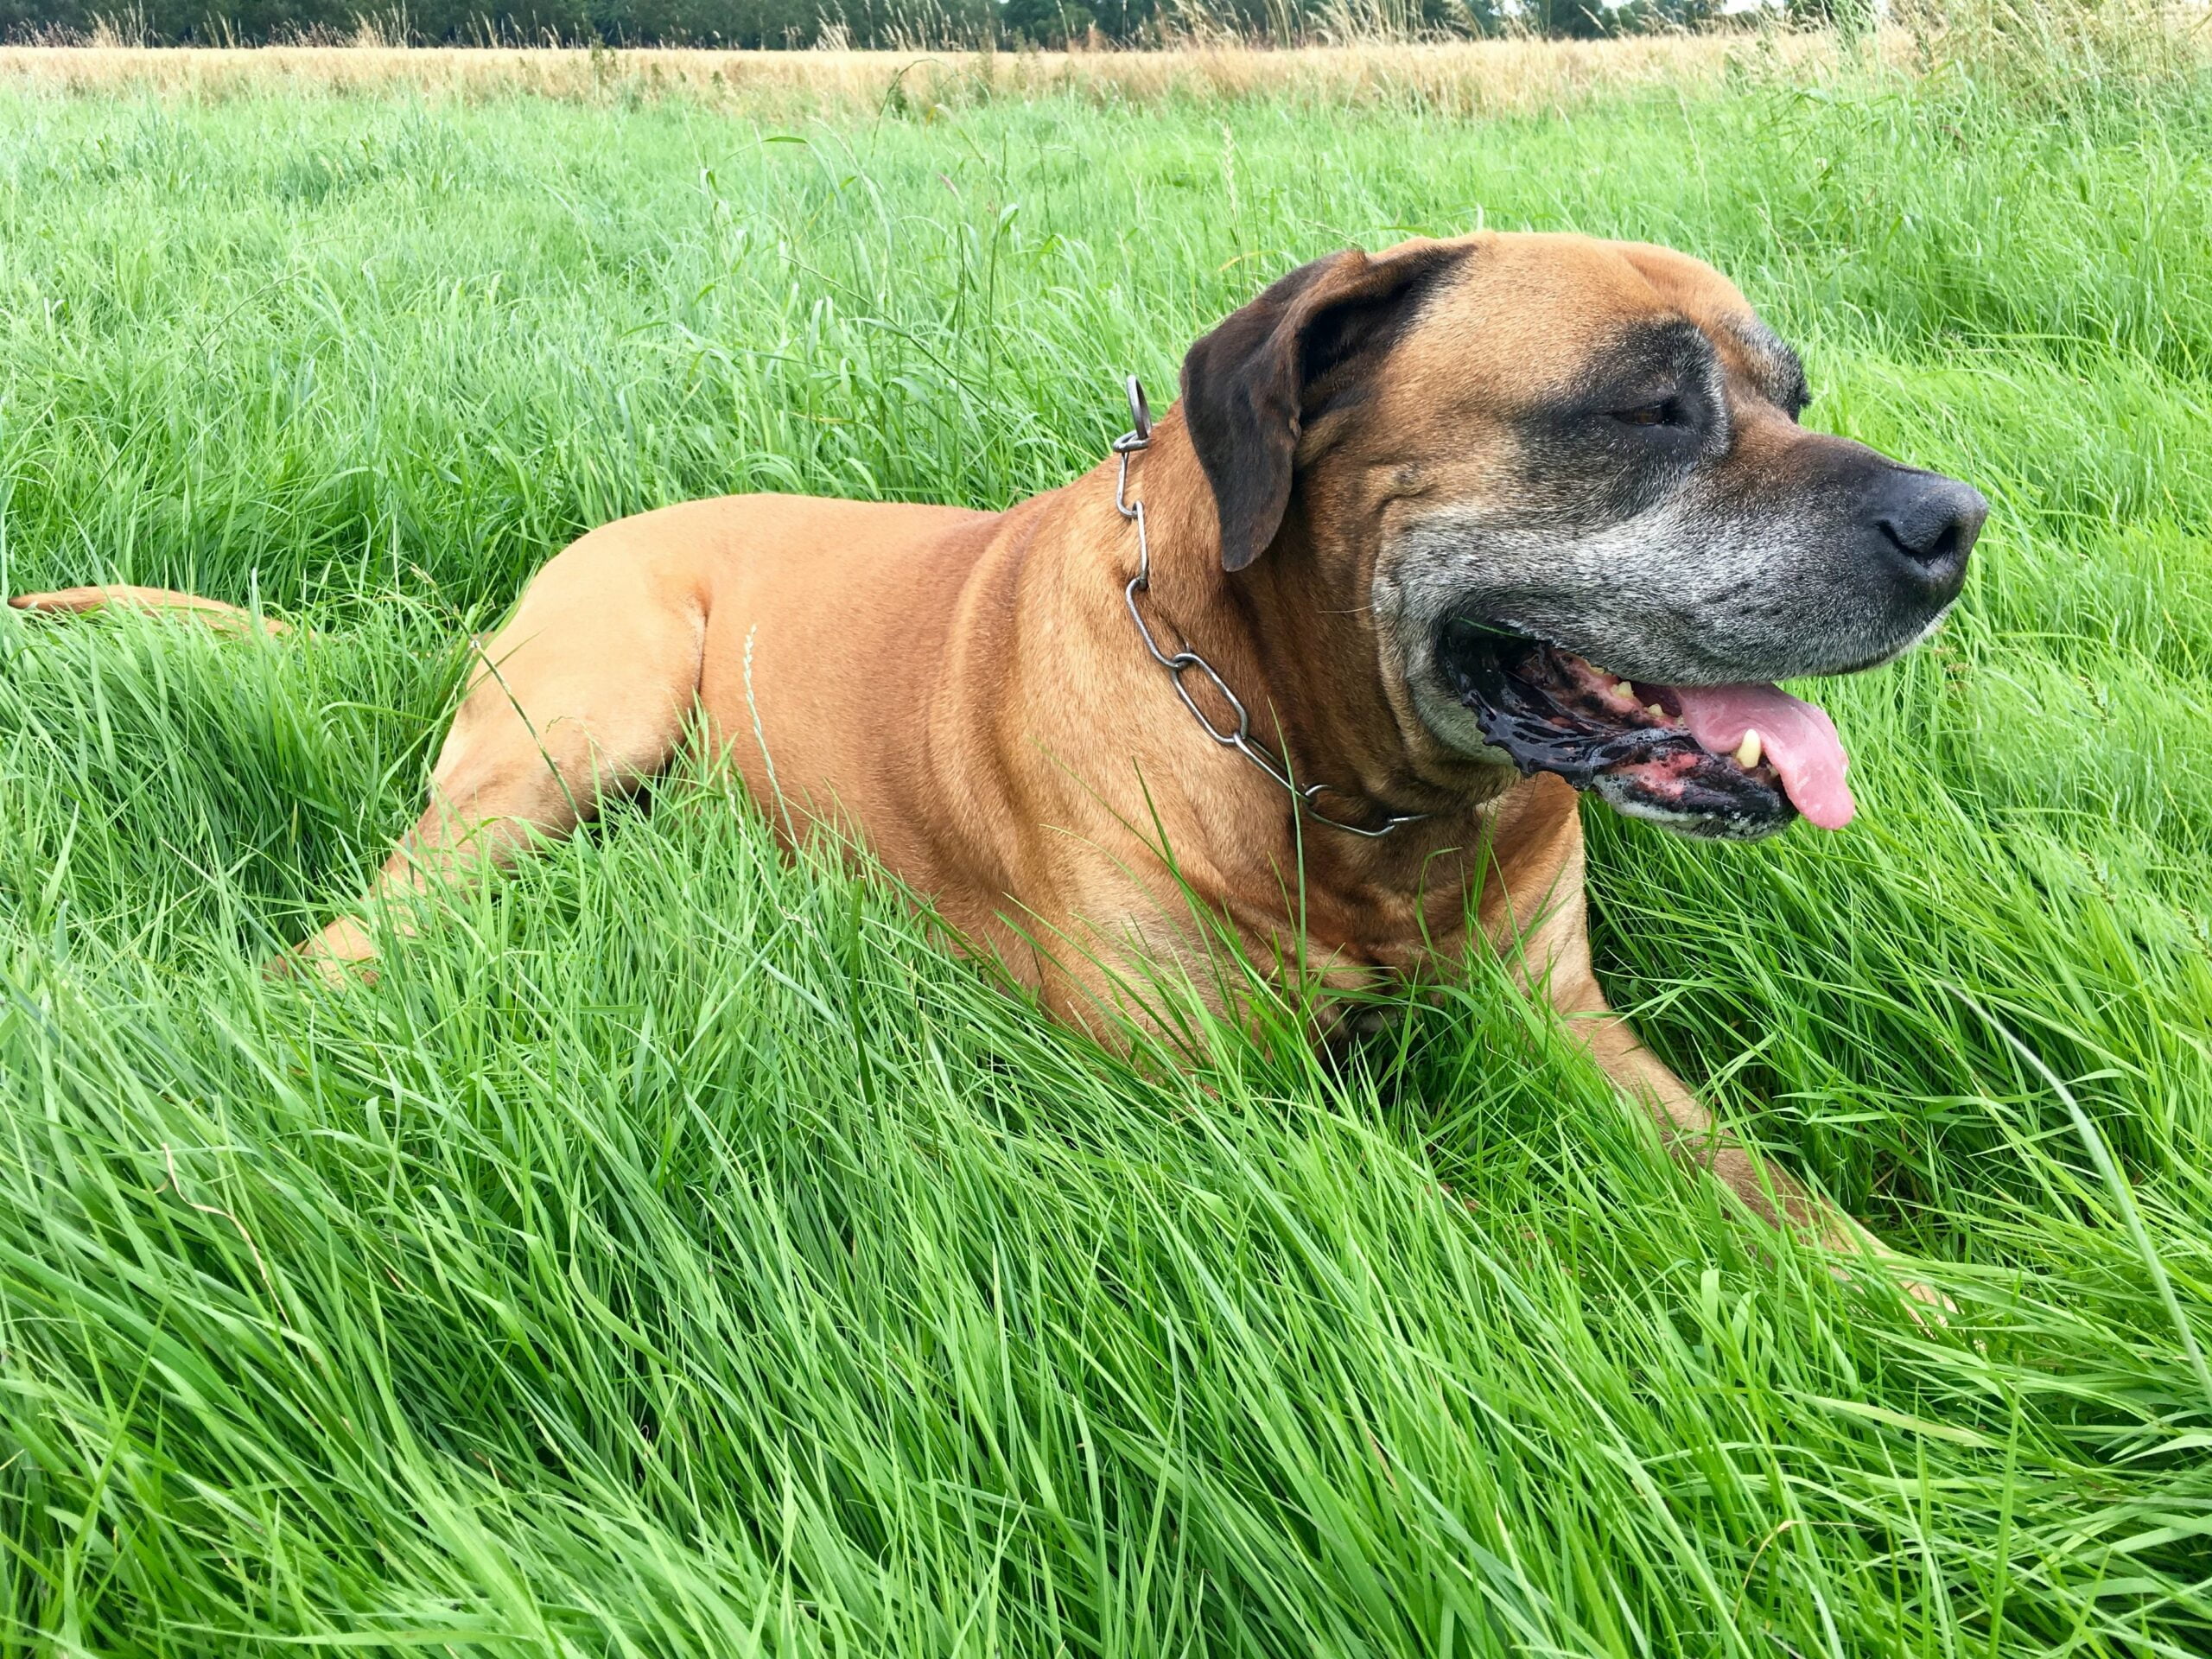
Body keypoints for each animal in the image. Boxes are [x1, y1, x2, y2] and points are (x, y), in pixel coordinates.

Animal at [13, 234, 1991, 1292]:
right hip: (571, 728)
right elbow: (1486, 1233)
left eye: (1789, 392)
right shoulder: (1215, 1108)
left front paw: (1922, 1302)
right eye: (1646, 405)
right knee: (365, 927)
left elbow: (1764, 1189)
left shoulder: (1563, 1020)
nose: (1953, 521)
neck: (1342, 782)